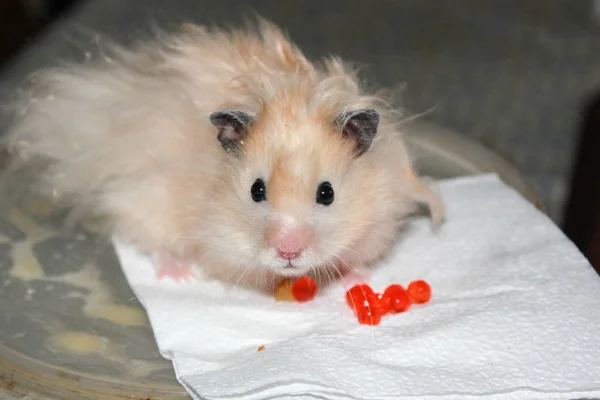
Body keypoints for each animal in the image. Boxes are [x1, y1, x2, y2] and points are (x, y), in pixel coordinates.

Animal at [2, 18, 442, 290]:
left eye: (327, 194)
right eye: (256, 191)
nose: (287, 253)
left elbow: (352, 257)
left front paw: (357, 278)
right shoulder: (220, 245)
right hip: (145, 199)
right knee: (153, 239)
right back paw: (177, 274)